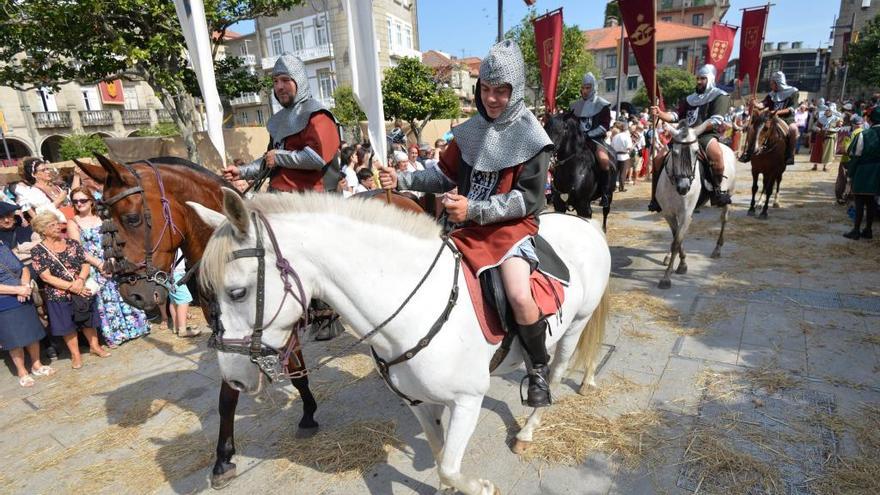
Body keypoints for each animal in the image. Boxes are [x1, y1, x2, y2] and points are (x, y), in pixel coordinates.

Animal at [189, 191, 608, 495]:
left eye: (238, 292)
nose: (235, 378)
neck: (412, 309)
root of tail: (583, 224)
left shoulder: (466, 401)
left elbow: (451, 466)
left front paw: (480, 487)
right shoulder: (416, 401)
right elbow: (440, 454)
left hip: (574, 326)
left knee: (554, 373)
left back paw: (528, 428)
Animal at [652, 121, 736, 288]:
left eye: (696, 152)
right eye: (675, 153)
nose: (684, 187)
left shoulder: (685, 214)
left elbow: (676, 242)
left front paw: (668, 276)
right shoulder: (668, 213)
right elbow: (676, 237)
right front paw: (680, 262)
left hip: (728, 195)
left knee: (724, 219)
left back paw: (717, 249)